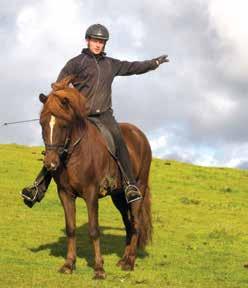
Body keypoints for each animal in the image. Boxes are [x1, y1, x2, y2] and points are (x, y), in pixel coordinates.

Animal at [38, 75, 152, 280]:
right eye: (42, 124)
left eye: (64, 125)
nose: (51, 163)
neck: (76, 153)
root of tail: (139, 135)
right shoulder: (65, 194)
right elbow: (71, 228)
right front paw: (69, 264)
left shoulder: (91, 193)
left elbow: (93, 229)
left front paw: (99, 268)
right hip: (118, 196)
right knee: (128, 224)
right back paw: (123, 259)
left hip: (138, 189)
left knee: (137, 222)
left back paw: (130, 262)